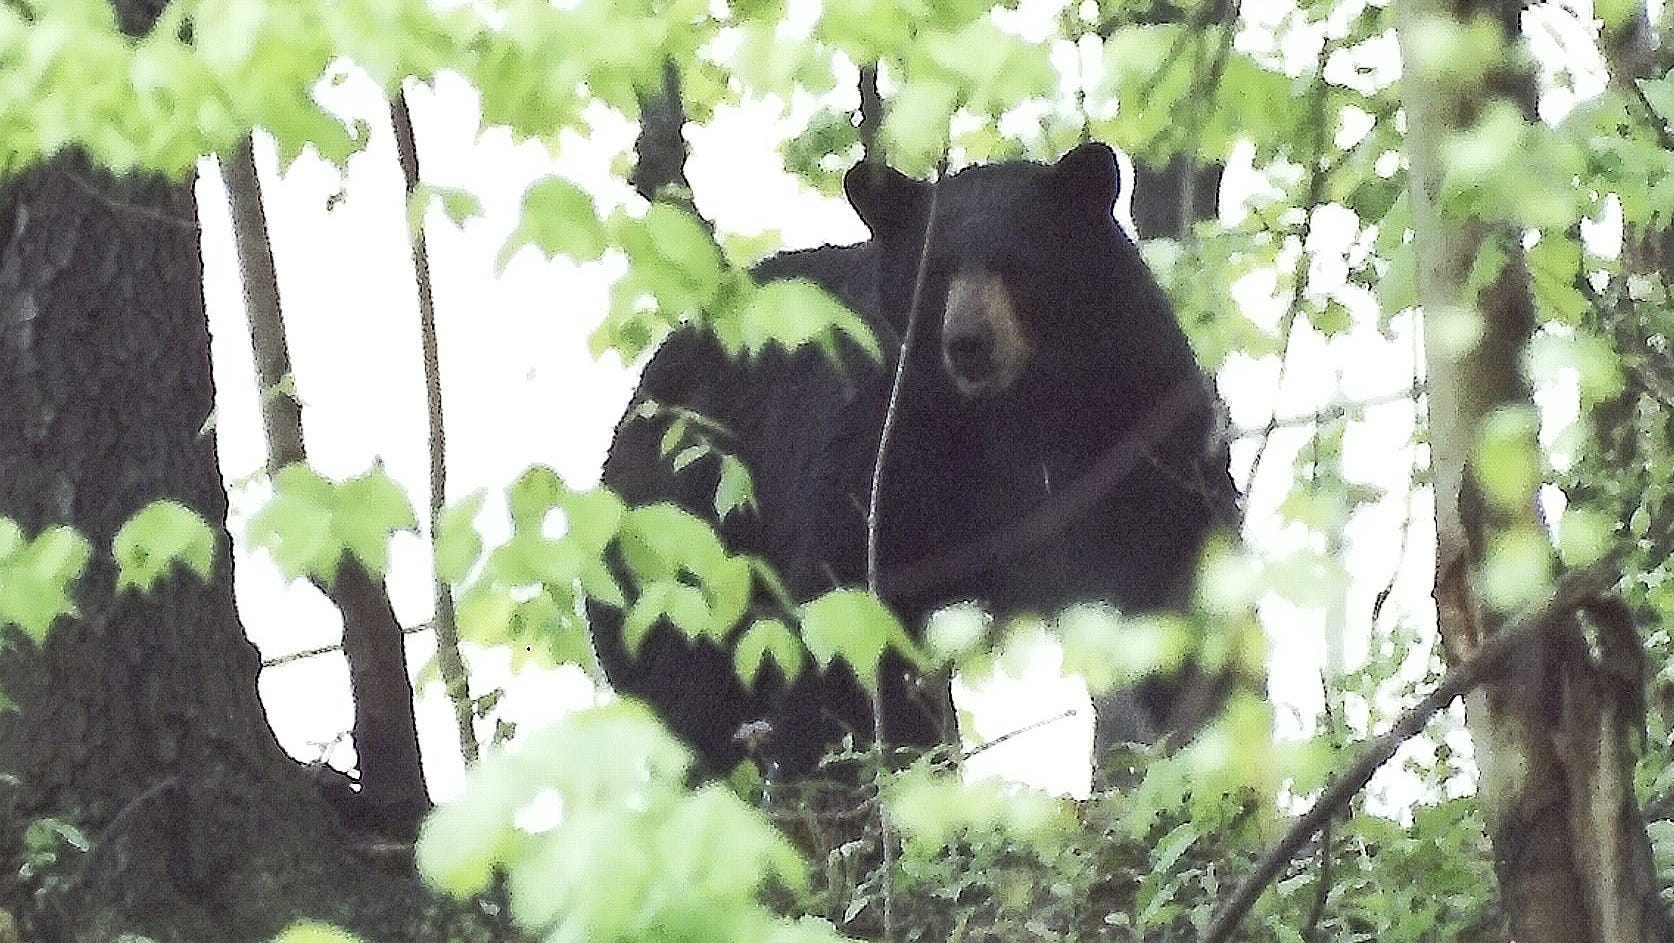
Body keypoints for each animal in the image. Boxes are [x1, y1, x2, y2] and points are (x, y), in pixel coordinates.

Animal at [592, 145, 1245, 783]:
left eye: (1018, 263)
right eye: (937, 272)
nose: (968, 342)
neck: (1015, 409)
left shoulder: (1137, 417)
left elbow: (1169, 566)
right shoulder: (889, 439)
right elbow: (855, 594)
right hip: (681, 532)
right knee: (691, 677)